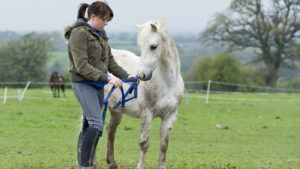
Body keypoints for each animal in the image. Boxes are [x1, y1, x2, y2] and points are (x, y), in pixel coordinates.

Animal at [105, 20, 185, 169]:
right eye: (141, 47)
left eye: (153, 46)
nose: (141, 75)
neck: (167, 82)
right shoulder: (146, 113)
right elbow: (144, 144)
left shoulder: (170, 115)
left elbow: (164, 145)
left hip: (115, 110)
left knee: (110, 131)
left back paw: (112, 163)